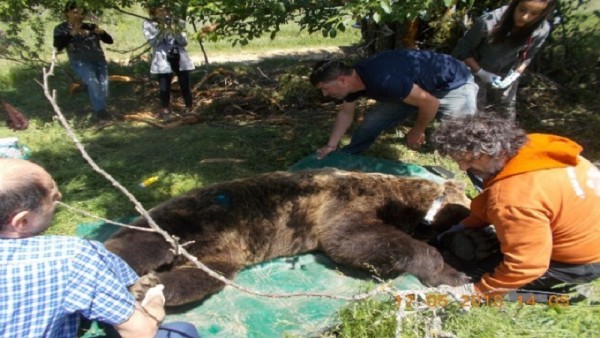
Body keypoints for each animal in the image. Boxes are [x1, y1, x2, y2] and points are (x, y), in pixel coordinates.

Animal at [106, 169, 474, 306]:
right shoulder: (346, 203)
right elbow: (351, 238)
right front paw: (451, 272)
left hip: (219, 252)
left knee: (201, 277)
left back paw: (150, 284)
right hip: (183, 220)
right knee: (137, 247)